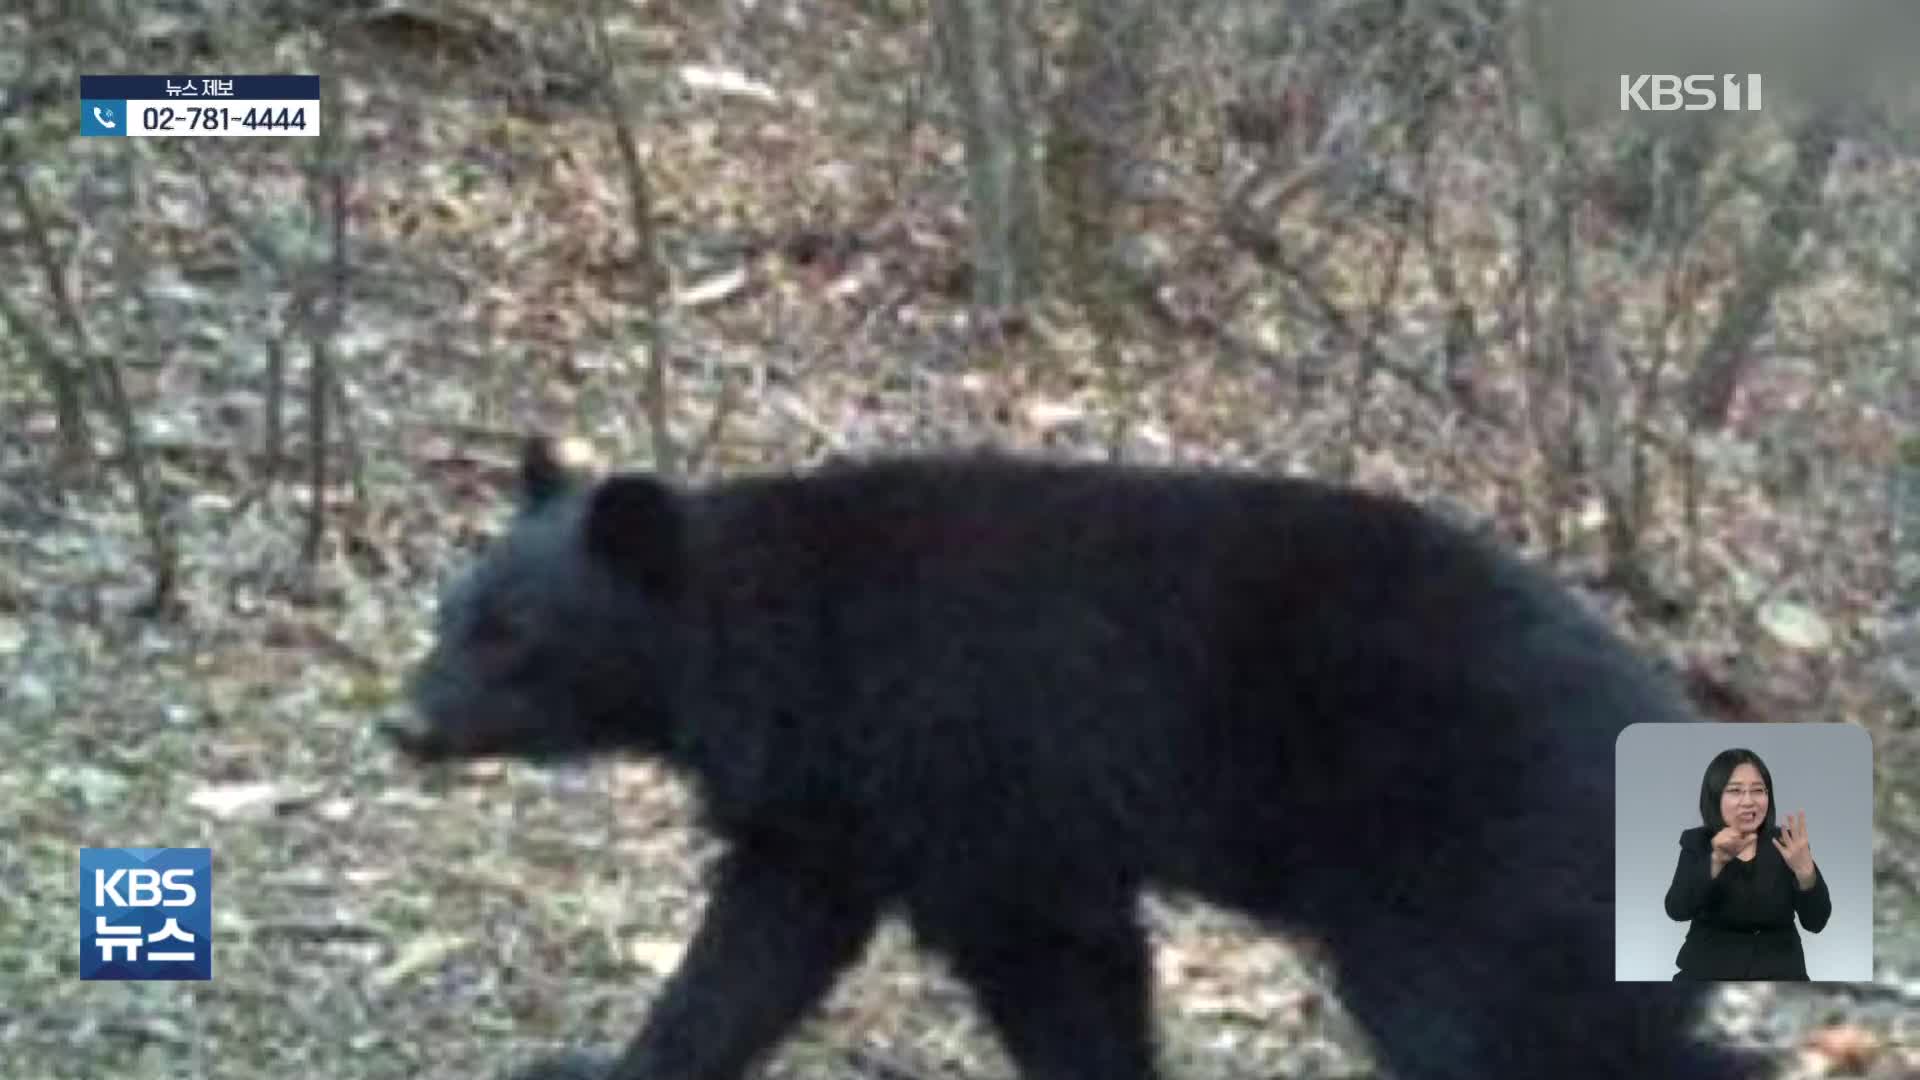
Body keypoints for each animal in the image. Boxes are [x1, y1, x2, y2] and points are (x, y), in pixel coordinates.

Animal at [382, 434, 1774, 1076]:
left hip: (1471, 868)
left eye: (512, 636)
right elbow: (756, 950)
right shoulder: (833, 808)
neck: (785, 645)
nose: (403, 723)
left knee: (1496, 1032)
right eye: (447, 612)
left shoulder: (977, 765)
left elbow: (1054, 953)